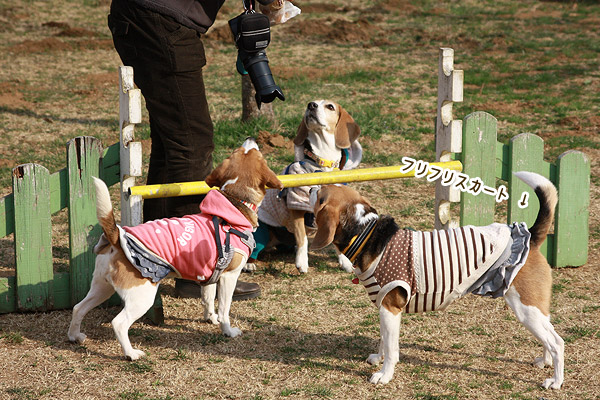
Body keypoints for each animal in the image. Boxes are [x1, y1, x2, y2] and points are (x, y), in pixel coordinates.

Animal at [68, 138, 284, 360]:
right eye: (253, 152)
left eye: (240, 151)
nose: (251, 139)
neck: (235, 202)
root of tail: (117, 238)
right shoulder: (228, 276)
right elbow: (225, 308)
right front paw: (228, 330)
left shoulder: (209, 275)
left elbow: (208, 299)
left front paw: (211, 318)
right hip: (141, 296)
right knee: (119, 323)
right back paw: (131, 354)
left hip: (102, 287)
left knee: (78, 308)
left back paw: (75, 336)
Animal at [252, 100, 364, 274]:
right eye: (311, 103)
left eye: (330, 106)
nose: (311, 105)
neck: (323, 164)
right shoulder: (296, 205)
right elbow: (302, 238)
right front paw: (302, 262)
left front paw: (345, 262)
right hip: (261, 232)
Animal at [308, 171, 564, 388]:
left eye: (320, 197)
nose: (310, 186)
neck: (367, 234)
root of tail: (530, 235)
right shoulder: (384, 309)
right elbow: (383, 339)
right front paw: (378, 357)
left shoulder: (390, 309)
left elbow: (391, 348)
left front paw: (384, 374)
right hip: (536, 309)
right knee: (548, 335)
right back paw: (544, 361)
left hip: (526, 309)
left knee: (557, 343)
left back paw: (555, 381)